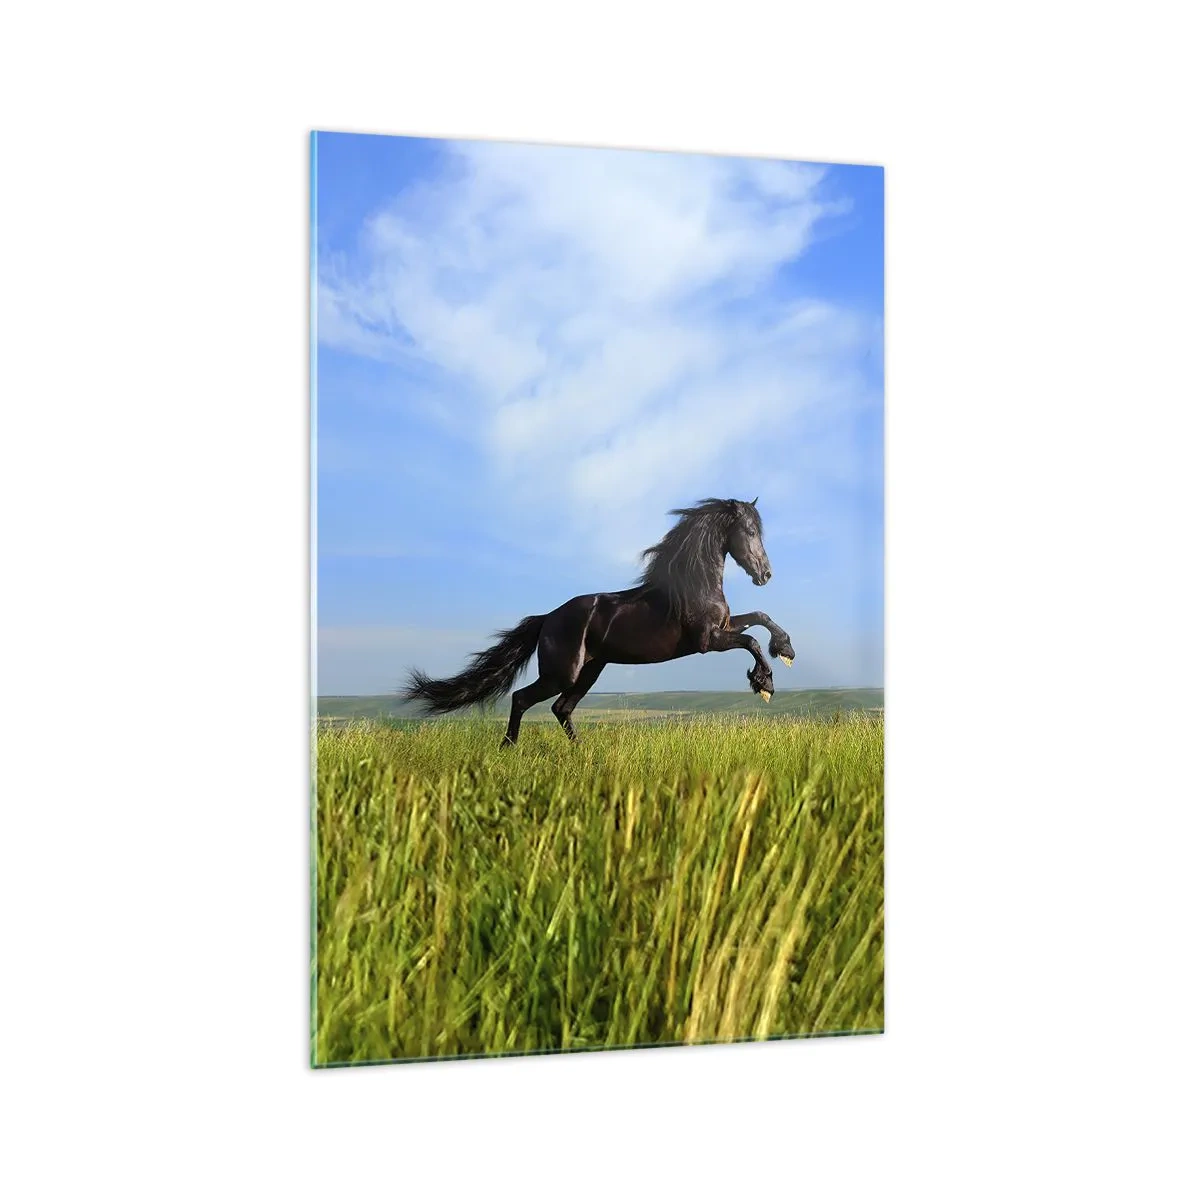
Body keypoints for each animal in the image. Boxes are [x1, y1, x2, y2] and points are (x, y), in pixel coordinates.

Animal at [402, 497, 796, 746]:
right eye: (749, 531)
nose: (765, 574)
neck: (694, 584)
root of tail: (547, 619)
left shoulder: (723, 627)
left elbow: (759, 618)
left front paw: (786, 650)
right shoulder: (707, 641)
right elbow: (751, 641)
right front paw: (764, 683)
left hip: (590, 670)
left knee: (561, 708)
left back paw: (582, 751)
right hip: (562, 673)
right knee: (522, 698)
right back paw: (508, 748)